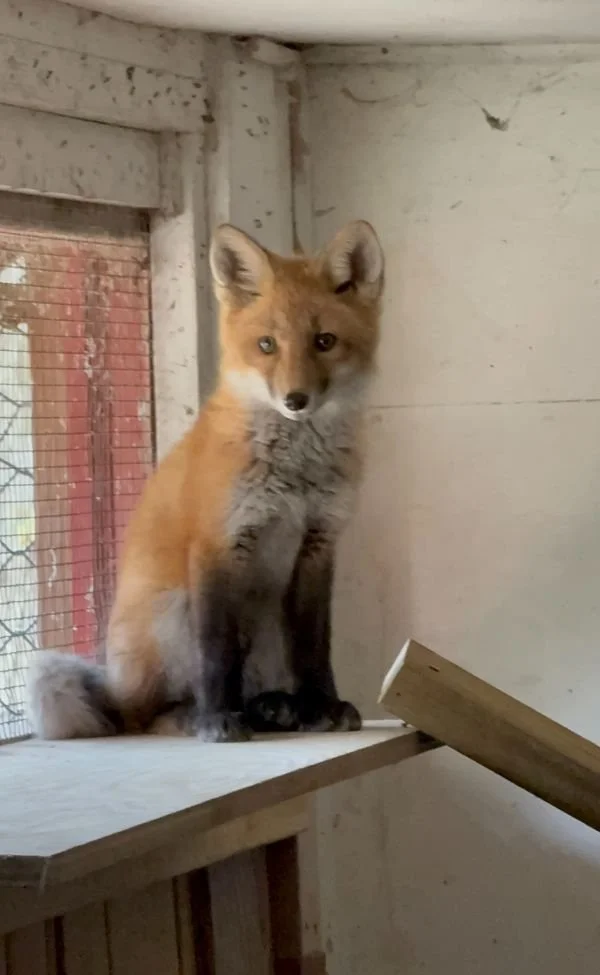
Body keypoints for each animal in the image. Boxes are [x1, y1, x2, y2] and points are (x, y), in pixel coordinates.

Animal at [27, 219, 385, 743]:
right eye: (266, 345)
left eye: (325, 341)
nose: (295, 400)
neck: (296, 474)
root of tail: (116, 689)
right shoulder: (217, 543)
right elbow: (216, 653)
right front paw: (218, 719)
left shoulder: (318, 546)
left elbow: (315, 647)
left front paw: (323, 705)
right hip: (175, 610)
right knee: (148, 717)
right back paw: (199, 715)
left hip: (265, 619)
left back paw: (274, 708)